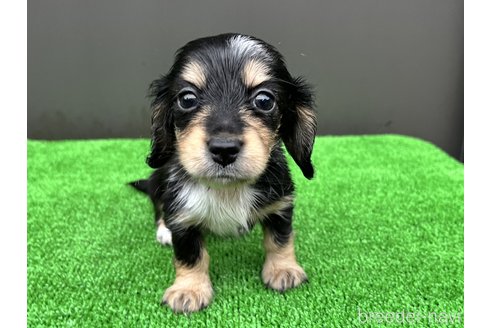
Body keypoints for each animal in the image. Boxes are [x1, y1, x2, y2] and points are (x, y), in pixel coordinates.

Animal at [131, 33, 316, 312]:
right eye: (187, 99)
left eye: (264, 100)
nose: (224, 150)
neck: (226, 189)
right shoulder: (183, 218)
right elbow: (190, 255)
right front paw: (189, 290)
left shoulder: (281, 204)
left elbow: (280, 239)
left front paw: (283, 270)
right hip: (158, 181)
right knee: (158, 207)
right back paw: (163, 231)